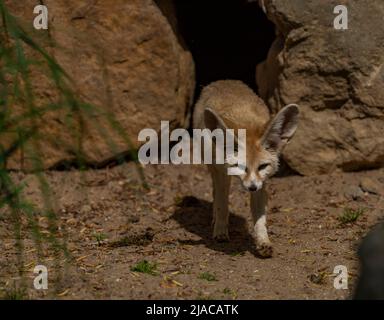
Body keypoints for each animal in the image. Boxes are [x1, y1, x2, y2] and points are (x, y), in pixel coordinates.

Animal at [194, 80, 298, 258]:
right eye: (240, 166)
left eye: (262, 166)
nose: (252, 187)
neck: (247, 124)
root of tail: (224, 81)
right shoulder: (222, 173)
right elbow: (222, 204)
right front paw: (220, 232)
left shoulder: (262, 182)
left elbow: (260, 218)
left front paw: (263, 241)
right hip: (213, 168)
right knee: (216, 193)